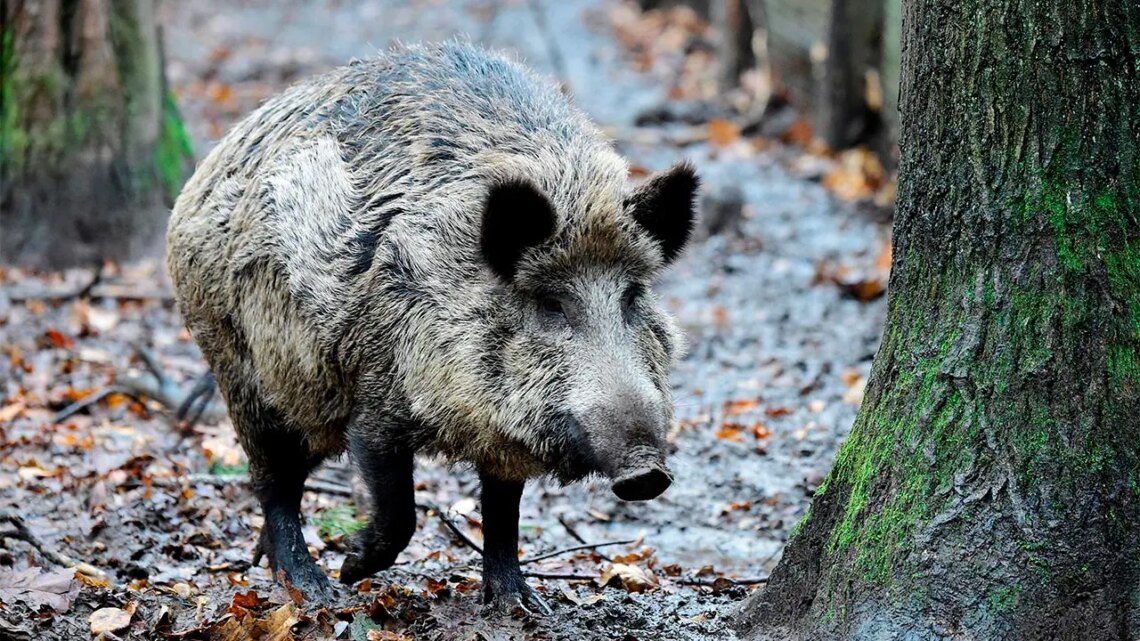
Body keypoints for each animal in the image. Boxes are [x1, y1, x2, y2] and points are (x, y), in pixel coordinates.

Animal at [166, 41, 698, 613]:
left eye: (633, 295)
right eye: (551, 303)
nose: (647, 472)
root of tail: (199, 180)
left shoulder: (501, 438)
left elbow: (503, 511)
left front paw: (522, 604)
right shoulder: (375, 406)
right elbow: (400, 510)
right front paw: (352, 569)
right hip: (242, 370)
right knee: (273, 482)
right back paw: (313, 589)